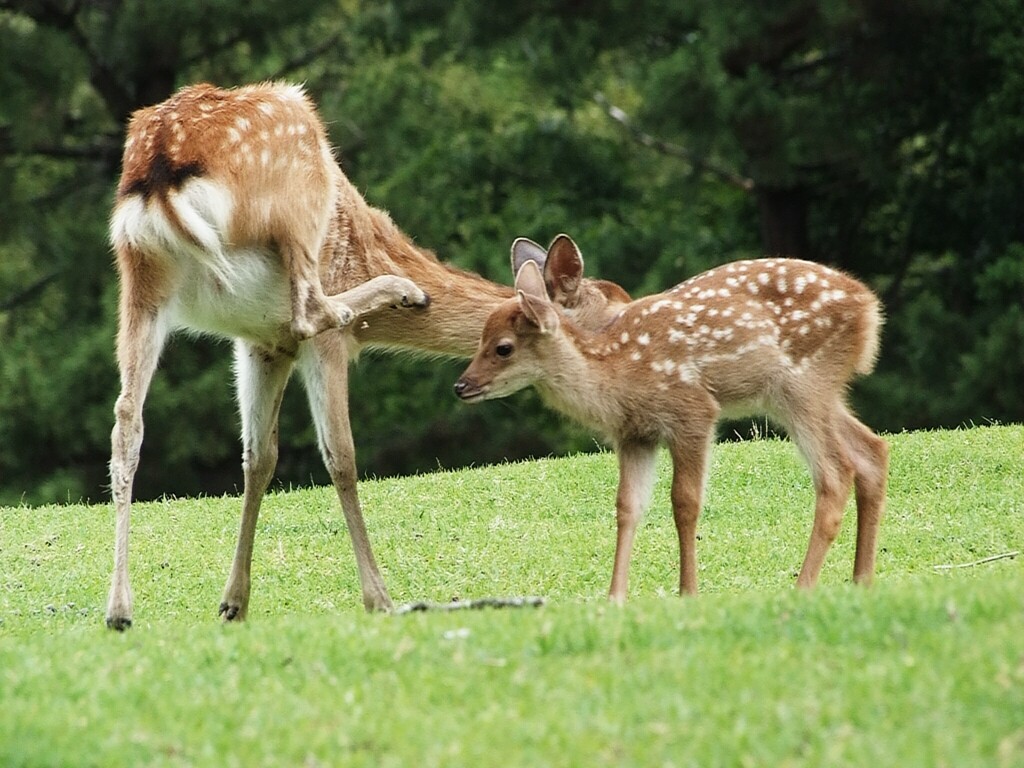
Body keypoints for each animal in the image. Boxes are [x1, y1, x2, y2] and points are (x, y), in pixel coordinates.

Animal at [108, 82, 626, 630]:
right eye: (618, 313)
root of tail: (161, 167)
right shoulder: (312, 344)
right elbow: (341, 456)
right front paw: (379, 597)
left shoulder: (259, 342)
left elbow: (259, 458)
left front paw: (233, 603)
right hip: (299, 190)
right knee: (312, 310)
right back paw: (400, 290)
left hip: (140, 282)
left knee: (127, 421)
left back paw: (119, 609)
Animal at [456, 237, 888, 606]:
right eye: (480, 339)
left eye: (503, 348)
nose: (462, 385)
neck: (616, 373)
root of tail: (870, 307)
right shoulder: (634, 435)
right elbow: (627, 506)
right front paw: (615, 598)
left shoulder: (693, 411)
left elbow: (685, 502)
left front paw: (688, 592)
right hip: (807, 394)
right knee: (871, 450)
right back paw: (861, 579)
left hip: (802, 384)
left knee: (836, 472)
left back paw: (804, 585)